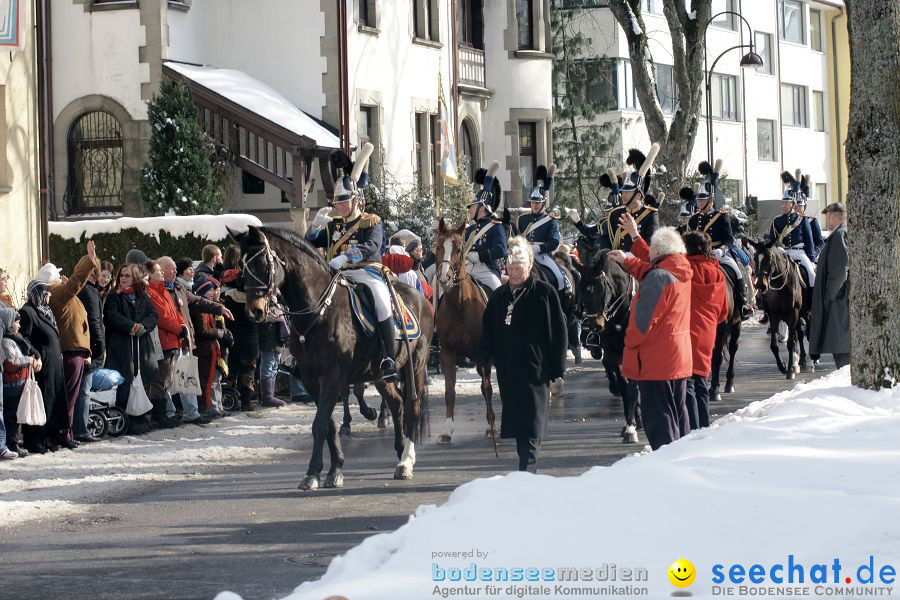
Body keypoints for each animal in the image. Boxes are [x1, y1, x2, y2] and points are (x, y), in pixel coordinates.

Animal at [234, 224, 434, 488]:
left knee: (412, 405)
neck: (317, 311)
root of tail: (421, 298)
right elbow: (327, 424)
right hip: (380, 375)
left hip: (416, 366)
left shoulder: (332, 376)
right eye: (242, 267)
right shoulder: (311, 378)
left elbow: (320, 424)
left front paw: (313, 473)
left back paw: (406, 462)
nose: (254, 311)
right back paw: (400, 451)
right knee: (396, 403)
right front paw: (333, 469)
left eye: (263, 263)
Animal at [434, 218, 496, 442]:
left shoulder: (482, 355)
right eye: (438, 247)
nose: (444, 279)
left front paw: (489, 426)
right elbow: (449, 391)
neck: (460, 305)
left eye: (459, 249)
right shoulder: (447, 353)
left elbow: (486, 389)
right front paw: (447, 429)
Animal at [576, 241, 640, 442]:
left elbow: (632, 388)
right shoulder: (613, 353)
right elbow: (624, 386)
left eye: (601, 288)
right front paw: (630, 424)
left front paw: (631, 430)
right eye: (582, 291)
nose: (595, 324)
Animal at [744, 238, 816, 380]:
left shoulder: (793, 314)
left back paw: (812, 361)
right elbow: (774, 345)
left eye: (770, 257)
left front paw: (791, 370)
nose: (760, 285)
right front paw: (784, 366)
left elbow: (790, 343)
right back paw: (802, 360)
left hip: (807, 312)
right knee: (800, 335)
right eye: (755, 257)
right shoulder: (774, 315)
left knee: (809, 333)